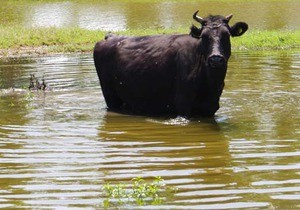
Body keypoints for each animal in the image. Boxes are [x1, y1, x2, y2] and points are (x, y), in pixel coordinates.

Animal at [94, 10, 248, 117]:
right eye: (204, 36)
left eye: (226, 35)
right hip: (110, 96)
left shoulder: (211, 108)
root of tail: (110, 36)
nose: (216, 59)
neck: (210, 83)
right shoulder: (183, 105)